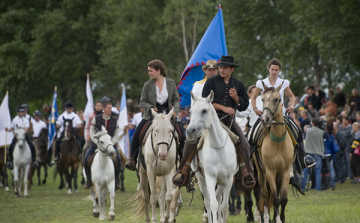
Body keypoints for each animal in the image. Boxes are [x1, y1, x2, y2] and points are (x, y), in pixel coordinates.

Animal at [187, 90, 238, 223]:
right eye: (190, 111)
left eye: (204, 110)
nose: (190, 131)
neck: (218, 146)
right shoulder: (210, 177)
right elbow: (213, 204)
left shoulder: (228, 179)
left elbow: (224, 206)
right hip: (201, 178)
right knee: (208, 202)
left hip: (221, 182)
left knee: (219, 199)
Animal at [253, 82, 296, 223]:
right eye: (262, 99)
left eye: (276, 99)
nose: (265, 119)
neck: (278, 142)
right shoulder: (270, 171)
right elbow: (275, 199)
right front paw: (275, 219)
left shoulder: (285, 171)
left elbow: (283, 199)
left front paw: (281, 218)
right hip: (261, 173)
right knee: (265, 194)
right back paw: (265, 218)